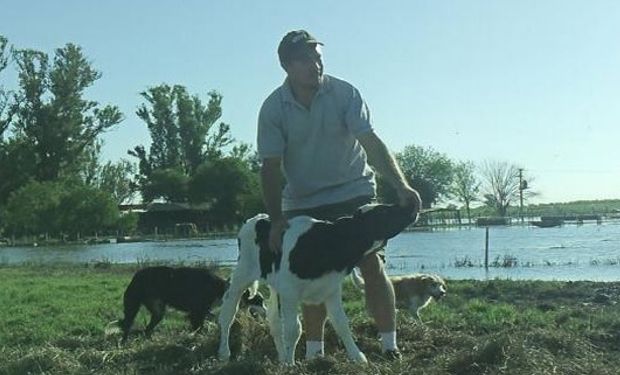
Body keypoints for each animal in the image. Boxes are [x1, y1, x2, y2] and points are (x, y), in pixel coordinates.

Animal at [116, 266, 264, 342]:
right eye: (259, 302)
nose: (265, 311)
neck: (220, 288)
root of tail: (136, 275)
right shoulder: (197, 311)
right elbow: (199, 326)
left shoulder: (202, 311)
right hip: (132, 306)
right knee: (127, 325)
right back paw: (124, 342)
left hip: (158, 311)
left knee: (148, 328)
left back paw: (149, 339)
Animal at [217, 204, 416, 366]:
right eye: (383, 212)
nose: (410, 207)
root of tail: (258, 217)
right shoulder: (290, 292)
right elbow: (293, 329)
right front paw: (291, 364)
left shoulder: (331, 289)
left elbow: (342, 324)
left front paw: (357, 357)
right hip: (241, 275)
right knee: (227, 314)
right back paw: (224, 353)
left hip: (275, 287)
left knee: (273, 321)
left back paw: (281, 357)